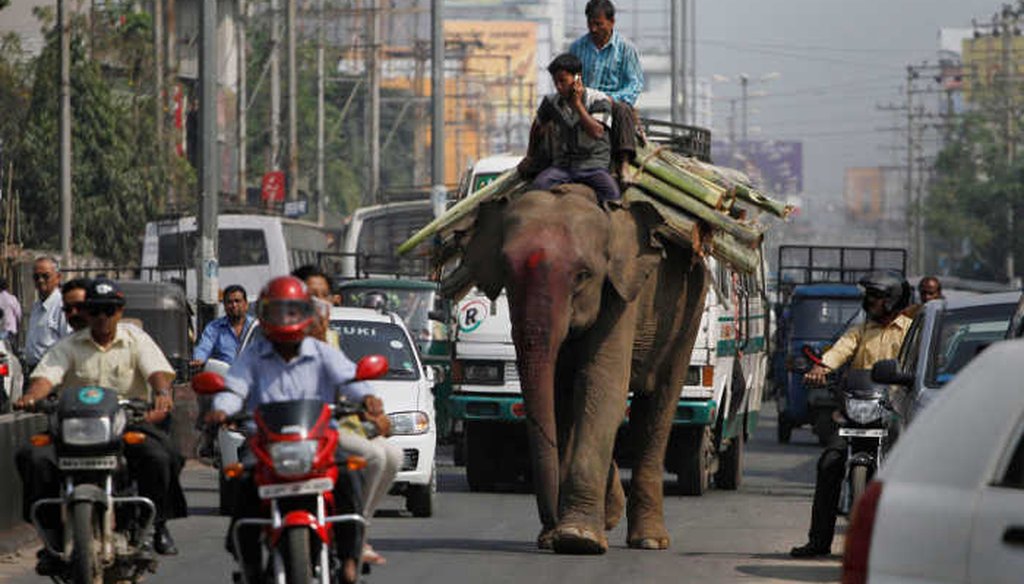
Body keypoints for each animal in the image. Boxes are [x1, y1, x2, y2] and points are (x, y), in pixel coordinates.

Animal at [452, 182, 708, 549]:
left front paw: (577, 539)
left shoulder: (621, 294)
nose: (549, 527)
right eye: (506, 273)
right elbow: (561, 396)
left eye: (583, 276)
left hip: (688, 311)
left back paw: (649, 541)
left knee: (659, 401)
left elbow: (602, 385)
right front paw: (560, 536)